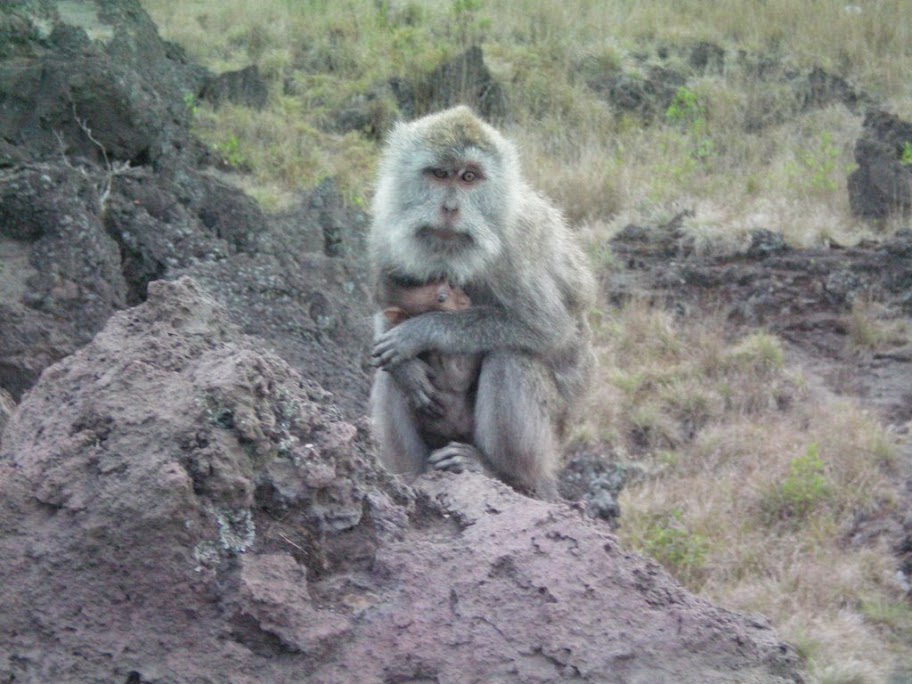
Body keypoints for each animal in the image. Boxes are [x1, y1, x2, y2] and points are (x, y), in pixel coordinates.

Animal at [366, 107, 596, 500]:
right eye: (440, 174)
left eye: (469, 177)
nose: (450, 208)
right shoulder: (386, 227)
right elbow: (387, 319)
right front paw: (406, 366)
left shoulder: (517, 247)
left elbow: (548, 328)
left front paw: (421, 332)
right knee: (390, 376)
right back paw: (411, 477)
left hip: (551, 439)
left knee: (510, 357)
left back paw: (499, 472)